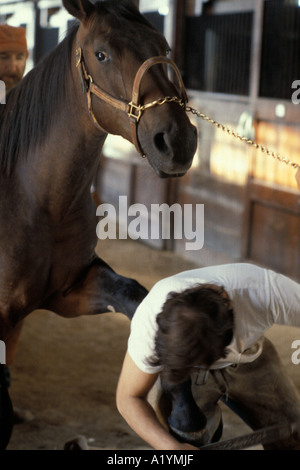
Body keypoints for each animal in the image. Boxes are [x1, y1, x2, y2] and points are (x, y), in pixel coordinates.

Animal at [0, 0, 199, 448]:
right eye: (102, 54)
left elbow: (138, 297)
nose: (177, 140)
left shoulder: (68, 290)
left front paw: (185, 409)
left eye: (164, 47)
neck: (32, 200)